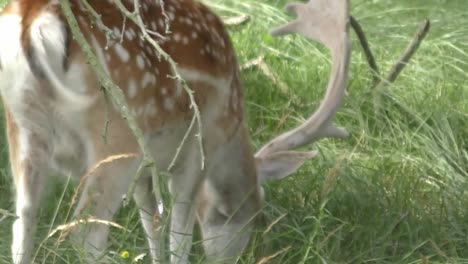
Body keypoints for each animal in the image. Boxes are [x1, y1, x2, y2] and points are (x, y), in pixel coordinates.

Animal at [0, 0, 350, 262]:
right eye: (254, 211)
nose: (229, 258)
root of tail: (34, 18)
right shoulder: (198, 149)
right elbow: (179, 233)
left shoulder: (145, 169)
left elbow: (151, 223)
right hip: (117, 133)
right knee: (85, 232)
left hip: (23, 127)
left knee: (23, 223)